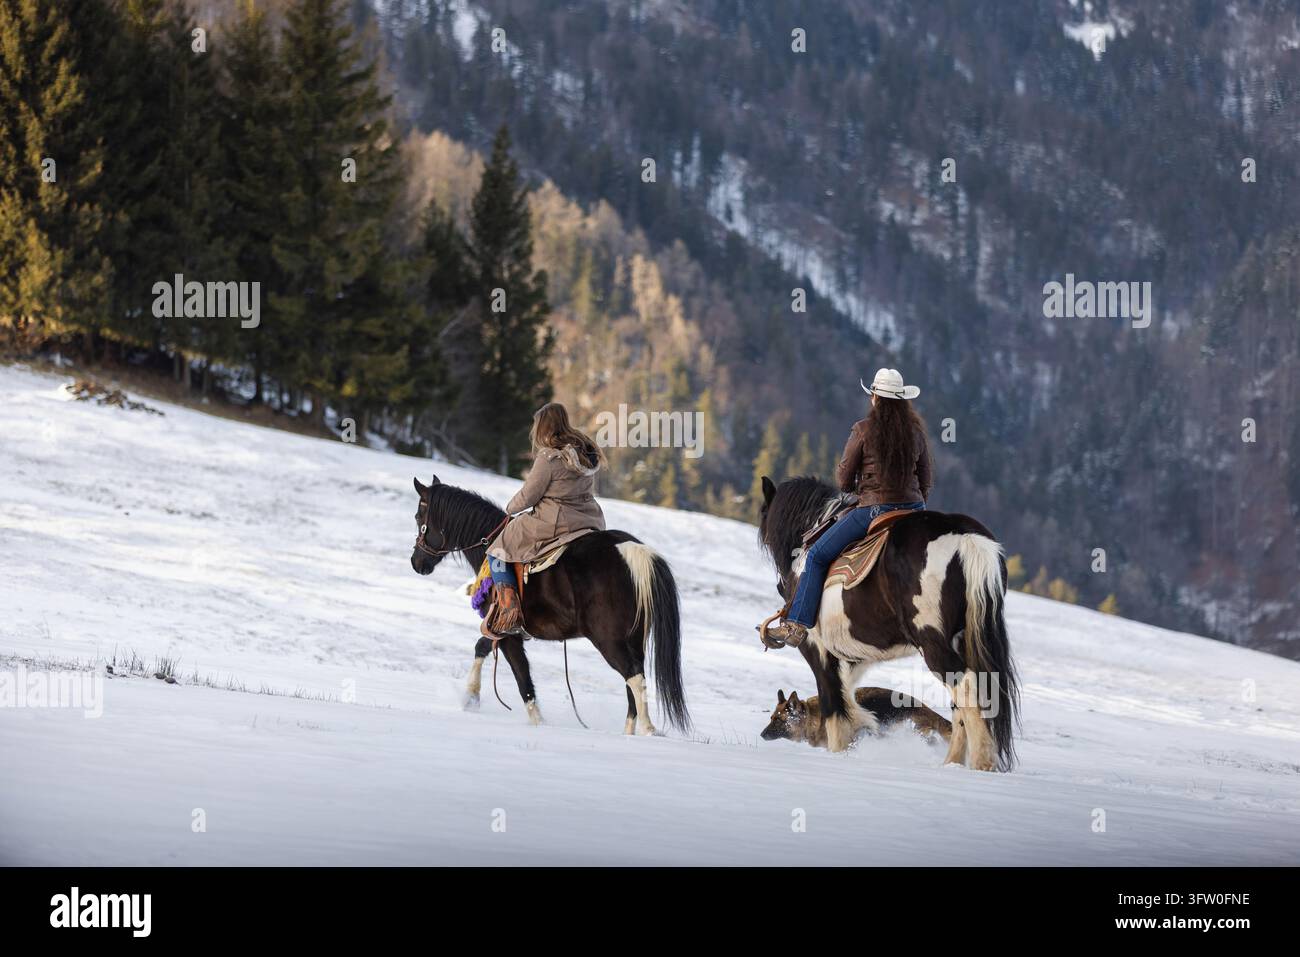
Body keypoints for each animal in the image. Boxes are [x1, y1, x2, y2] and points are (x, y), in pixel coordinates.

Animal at [409, 475, 690, 736]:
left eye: (418, 516)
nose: (416, 562)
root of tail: (633, 551)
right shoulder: (501, 628)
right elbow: (482, 647)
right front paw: (470, 697)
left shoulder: (507, 633)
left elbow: (523, 679)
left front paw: (538, 723)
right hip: (634, 639)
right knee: (633, 680)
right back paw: (629, 732)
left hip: (608, 639)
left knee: (634, 676)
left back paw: (649, 729)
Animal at [757, 475, 1019, 769]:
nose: (781, 587)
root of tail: (967, 539)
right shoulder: (852, 658)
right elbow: (849, 701)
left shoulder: (817, 650)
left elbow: (833, 708)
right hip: (966, 639)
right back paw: (952, 762)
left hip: (934, 644)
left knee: (966, 687)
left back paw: (982, 762)